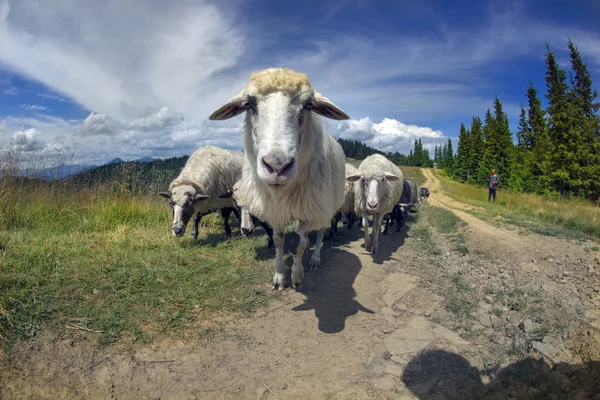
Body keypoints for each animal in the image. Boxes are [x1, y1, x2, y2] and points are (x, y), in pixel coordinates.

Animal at [207, 67, 346, 290]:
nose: (277, 165)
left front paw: (297, 277)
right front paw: (280, 277)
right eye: (248, 104)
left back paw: (315, 257)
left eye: (309, 105)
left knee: (320, 231)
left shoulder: (309, 208)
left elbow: (298, 243)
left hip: (326, 204)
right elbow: (279, 239)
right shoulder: (275, 209)